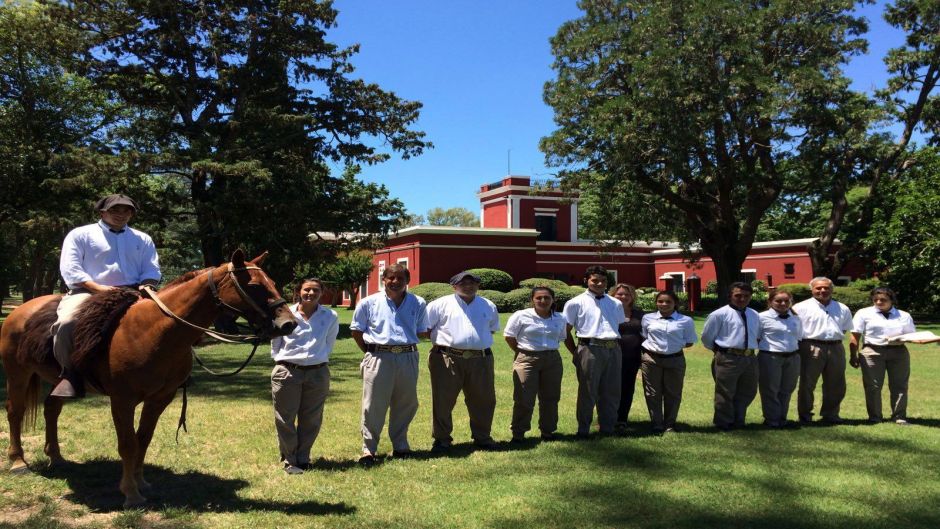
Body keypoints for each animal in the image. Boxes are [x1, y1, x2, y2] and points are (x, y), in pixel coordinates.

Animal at [0, 250, 296, 506]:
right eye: (254, 285)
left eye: (273, 283)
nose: (288, 323)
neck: (154, 332)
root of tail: (20, 311)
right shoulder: (122, 400)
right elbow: (127, 444)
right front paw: (130, 493)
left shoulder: (159, 399)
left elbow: (143, 439)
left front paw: (141, 483)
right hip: (18, 374)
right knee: (15, 412)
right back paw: (18, 462)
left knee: (52, 409)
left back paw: (56, 457)